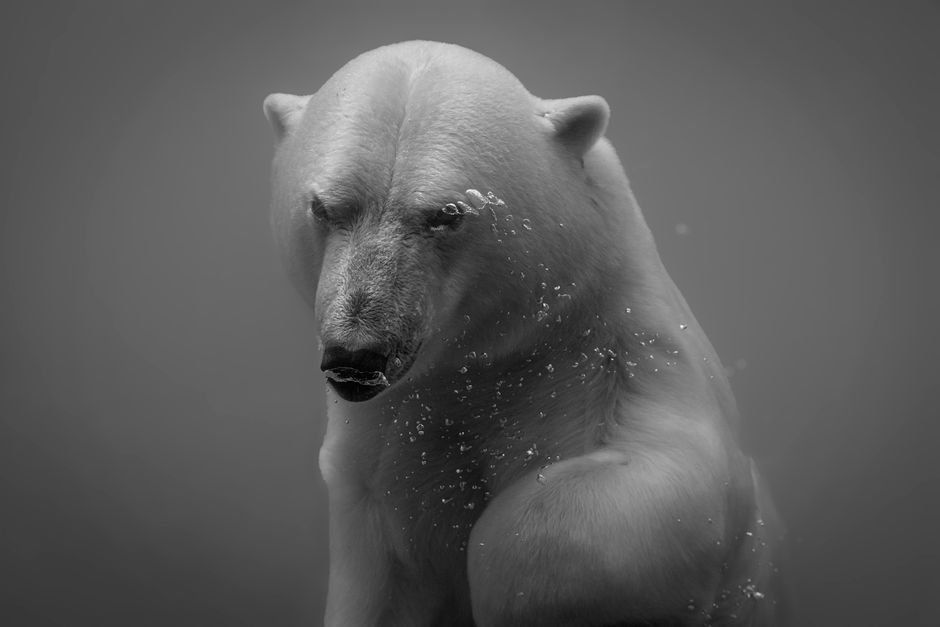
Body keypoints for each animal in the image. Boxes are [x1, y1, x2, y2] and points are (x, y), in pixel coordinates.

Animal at [264, 41, 783, 627]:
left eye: (447, 214)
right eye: (324, 206)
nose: (357, 353)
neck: (498, 357)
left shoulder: (632, 366)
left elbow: (590, 516)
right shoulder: (385, 439)